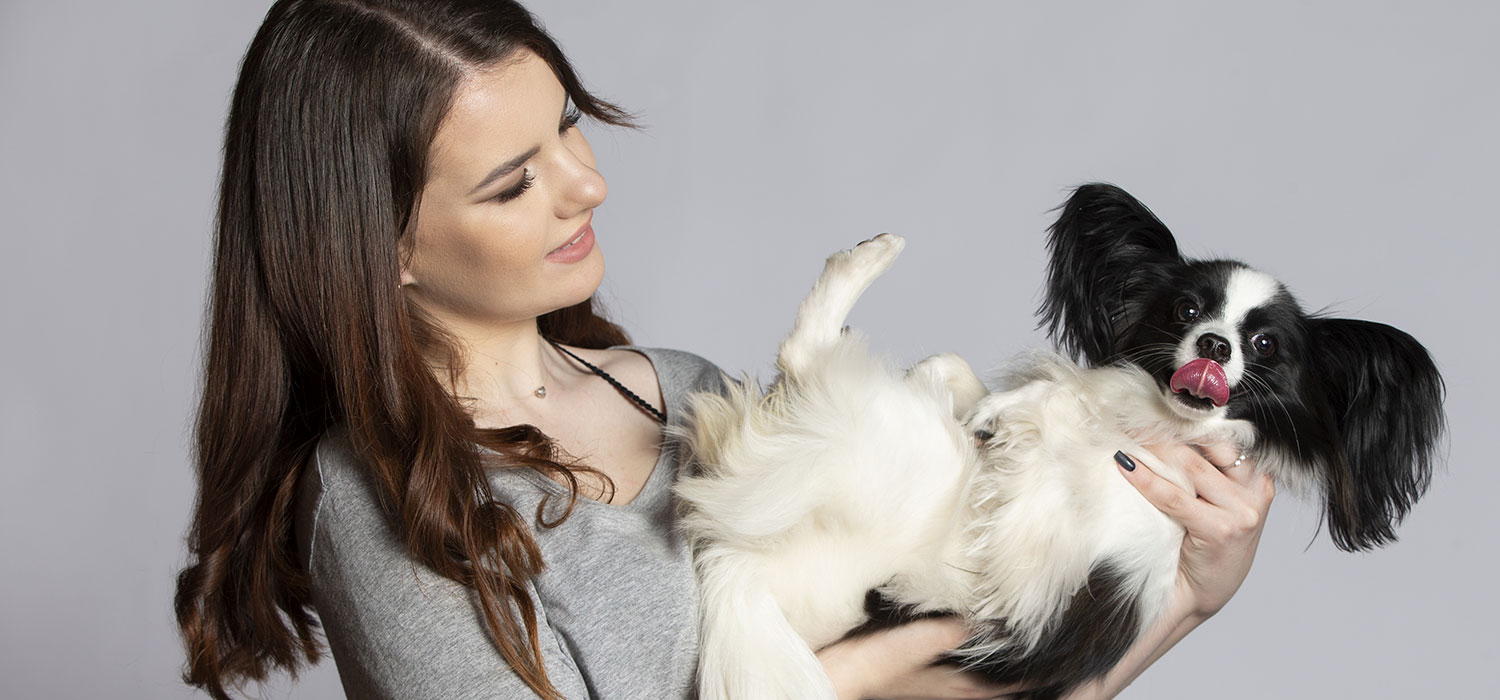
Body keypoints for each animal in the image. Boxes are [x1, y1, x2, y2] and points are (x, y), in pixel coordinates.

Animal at [675, 183, 1446, 698]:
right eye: (1186, 310)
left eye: (1263, 345)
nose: (1214, 345)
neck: (1152, 426)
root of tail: (740, 569)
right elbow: (966, 375)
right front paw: (991, 403)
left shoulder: (1041, 535)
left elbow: (1044, 404)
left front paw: (1022, 409)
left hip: (892, 446)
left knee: (807, 355)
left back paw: (867, 262)